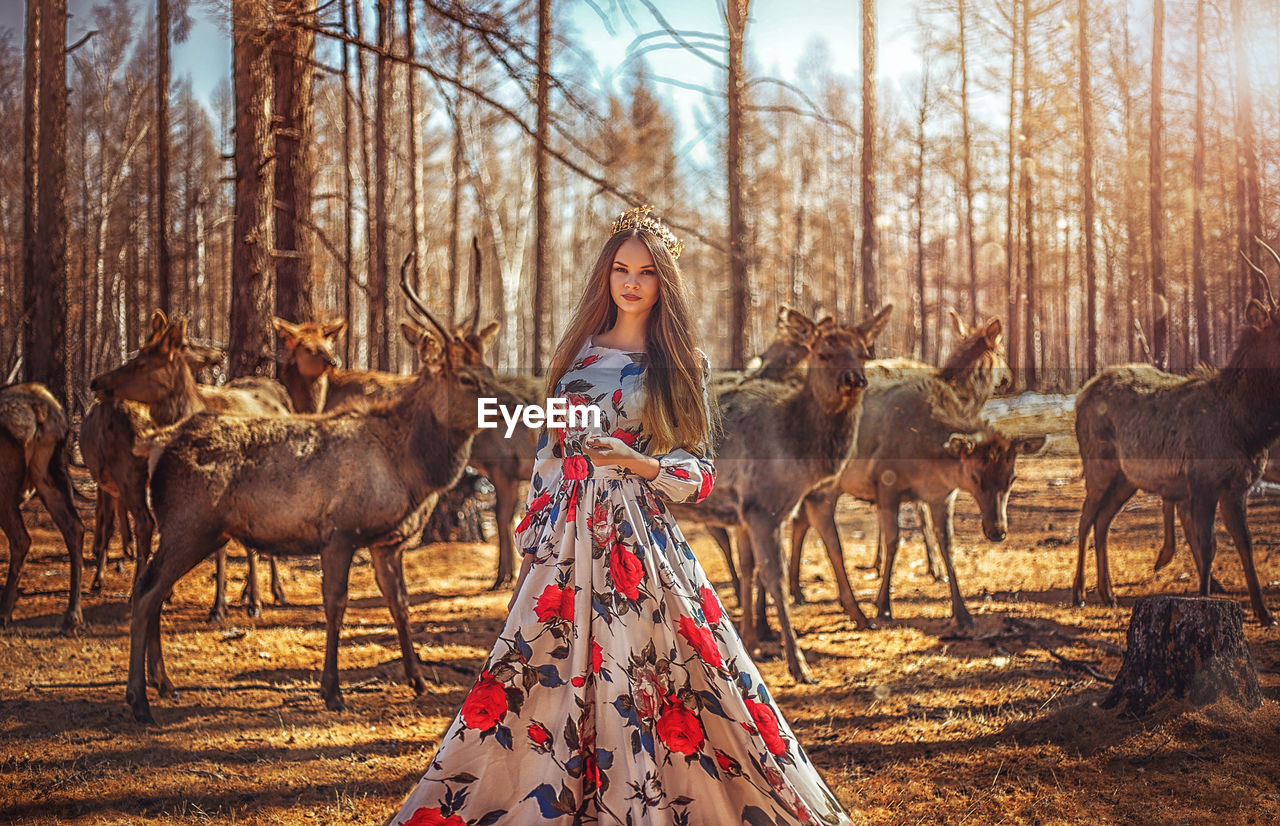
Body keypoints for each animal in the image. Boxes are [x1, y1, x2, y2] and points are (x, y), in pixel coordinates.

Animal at [0, 381, 87, 632]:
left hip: (5, 487)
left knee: (21, 539)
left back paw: (4, 613)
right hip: (50, 474)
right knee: (75, 528)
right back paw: (72, 615)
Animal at [90, 311, 294, 619]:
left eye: (141, 362)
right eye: (138, 352)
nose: (96, 382)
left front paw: (239, 604)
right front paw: (216, 604)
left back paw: (271, 593)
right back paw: (251, 591)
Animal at [126, 263, 504, 722]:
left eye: (489, 371)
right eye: (466, 377)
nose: (509, 405)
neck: (410, 468)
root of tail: (158, 444)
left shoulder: (386, 542)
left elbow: (399, 602)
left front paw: (418, 679)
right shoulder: (339, 532)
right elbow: (336, 604)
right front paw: (332, 691)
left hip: (197, 531)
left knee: (151, 590)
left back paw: (163, 684)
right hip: (188, 526)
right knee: (146, 592)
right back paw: (140, 700)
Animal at [670, 302, 890, 681]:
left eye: (864, 352)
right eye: (823, 353)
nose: (854, 379)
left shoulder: (748, 513)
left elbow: (755, 567)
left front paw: (752, 638)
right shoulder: (763, 507)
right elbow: (776, 577)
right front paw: (797, 662)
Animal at [783, 366, 1044, 624]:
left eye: (1012, 477)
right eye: (975, 477)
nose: (997, 531)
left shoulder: (942, 496)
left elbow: (947, 545)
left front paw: (962, 613)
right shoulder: (885, 482)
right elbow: (893, 542)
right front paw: (883, 607)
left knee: (802, 521)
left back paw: (798, 591)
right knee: (826, 536)